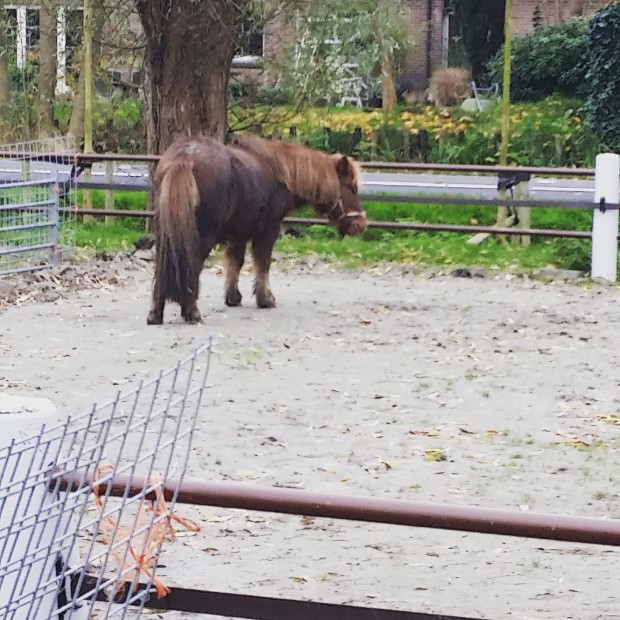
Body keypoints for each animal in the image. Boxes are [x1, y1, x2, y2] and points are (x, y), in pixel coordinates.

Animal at [147, 136, 366, 324]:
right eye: (352, 187)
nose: (361, 224)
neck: (280, 173)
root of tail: (184, 157)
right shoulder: (268, 230)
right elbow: (263, 262)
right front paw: (265, 299)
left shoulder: (238, 234)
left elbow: (235, 262)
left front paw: (233, 297)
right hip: (202, 236)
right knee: (191, 267)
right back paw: (191, 312)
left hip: (166, 233)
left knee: (162, 267)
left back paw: (155, 314)